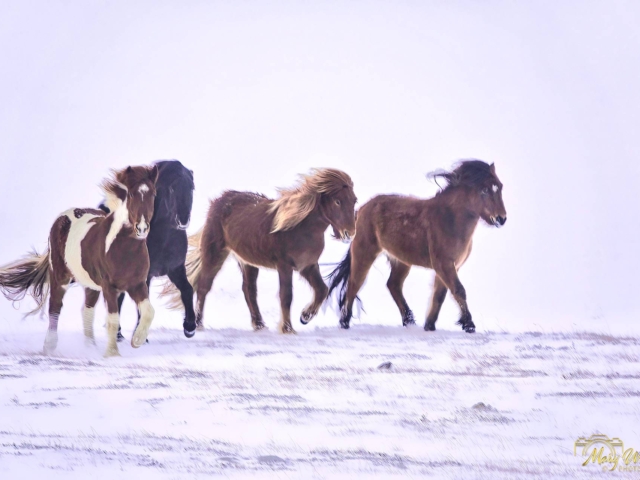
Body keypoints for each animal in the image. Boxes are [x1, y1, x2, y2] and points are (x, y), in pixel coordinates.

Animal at [0, 165, 159, 356]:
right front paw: (112, 353)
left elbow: (149, 312)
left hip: (91, 285)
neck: (124, 250)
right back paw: (49, 346)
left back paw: (90, 346)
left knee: (87, 310)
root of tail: (62, 217)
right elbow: (113, 320)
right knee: (55, 307)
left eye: (153, 194)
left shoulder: (137, 284)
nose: (141, 228)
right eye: (133, 194)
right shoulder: (109, 287)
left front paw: (137, 341)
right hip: (60, 276)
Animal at [99, 160, 196, 340]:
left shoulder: (175, 269)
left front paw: (190, 327)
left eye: (191, 187)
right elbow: (143, 302)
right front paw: (140, 336)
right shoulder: (145, 276)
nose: (183, 220)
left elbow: (187, 289)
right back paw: (118, 333)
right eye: (172, 188)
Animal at [161, 168, 357, 334]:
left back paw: (259, 325)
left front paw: (305, 316)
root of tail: (220, 200)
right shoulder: (285, 267)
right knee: (203, 287)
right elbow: (286, 296)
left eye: (354, 200)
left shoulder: (308, 266)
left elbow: (322, 289)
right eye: (337, 201)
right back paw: (199, 324)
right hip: (215, 254)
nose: (350, 233)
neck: (301, 229)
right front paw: (288, 329)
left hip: (248, 262)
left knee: (249, 291)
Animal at [327, 160, 507, 333]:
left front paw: (430, 325)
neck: (449, 219)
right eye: (484, 190)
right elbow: (458, 290)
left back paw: (409, 321)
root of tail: (361, 209)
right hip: (365, 254)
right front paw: (469, 325)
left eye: (500, 186)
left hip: (401, 261)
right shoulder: (444, 264)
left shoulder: (449, 266)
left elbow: (439, 295)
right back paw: (344, 322)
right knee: (354, 284)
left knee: (393, 285)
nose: (501, 218)